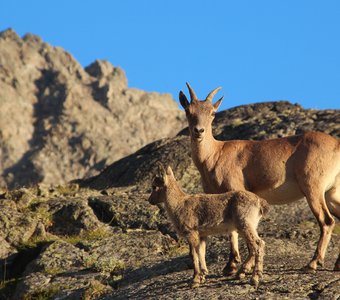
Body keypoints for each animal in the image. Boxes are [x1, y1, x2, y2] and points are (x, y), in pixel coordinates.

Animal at [179, 82, 338, 274]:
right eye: (188, 111)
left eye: (212, 113)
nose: (199, 131)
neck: (215, 155)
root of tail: (337, 145)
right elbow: (231, 230)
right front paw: (231, 265)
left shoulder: (237, 190)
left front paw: (242, 267)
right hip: (332, 192)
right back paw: (336, 265)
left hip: (313, 188)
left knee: (327, 221)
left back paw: (313, 263)